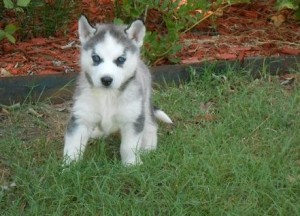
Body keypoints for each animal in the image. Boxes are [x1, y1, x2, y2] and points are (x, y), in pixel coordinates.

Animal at [63, 16, 171, 165]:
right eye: (96, 58)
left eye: (120, 59)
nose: (106, 79)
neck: (107, 96)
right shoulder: (81, 116)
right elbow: (72, 145)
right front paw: (69, 166)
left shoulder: (132, 118)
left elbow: (128, 147)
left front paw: (132, 164)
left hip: (144, 104)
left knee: (151, 124)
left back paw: (149, 147)